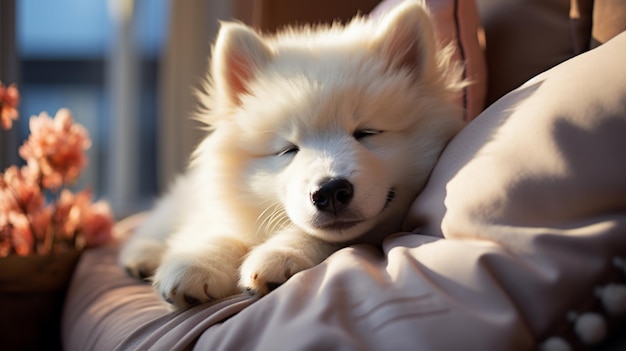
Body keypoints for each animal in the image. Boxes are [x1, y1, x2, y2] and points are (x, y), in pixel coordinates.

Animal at [118, 1, 464, 310]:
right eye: (288, 149)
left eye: (367, 133)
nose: (331, 191)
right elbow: (221, 232)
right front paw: (196, 263)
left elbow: (318, 236)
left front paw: (278, 255)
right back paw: (142, 255)